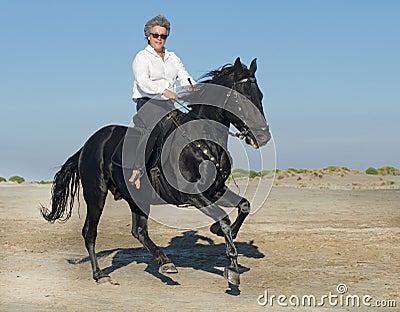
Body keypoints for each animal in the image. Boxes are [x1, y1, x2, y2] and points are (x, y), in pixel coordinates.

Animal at [40, 56, 270, 286]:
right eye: (241, 98)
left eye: (260, 95)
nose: (263, 136)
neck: (202, 141)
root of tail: (88, 145)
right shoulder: (193, 195)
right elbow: (223, 220)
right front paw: (232, 267)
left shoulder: (215, 190)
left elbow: (244, 206)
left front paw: (222, 236)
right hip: (96, 194)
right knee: (90, 232)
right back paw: (100, 274)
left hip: (137, 198)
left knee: (139, 231)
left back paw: (165, 262)